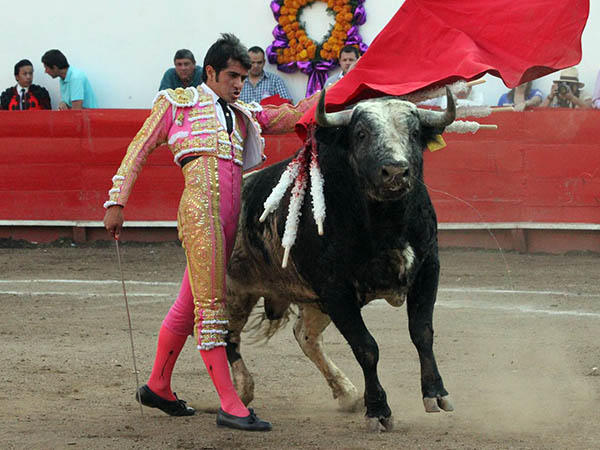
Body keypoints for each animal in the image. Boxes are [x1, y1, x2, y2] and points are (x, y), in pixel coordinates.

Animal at [225, 87, 456, 431]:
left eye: (414, 133)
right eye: (361, 134)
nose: (395, 171)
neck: (387, 221)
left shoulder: (428, 268)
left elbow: (422, 333)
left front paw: (436, 394)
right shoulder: (335, 288)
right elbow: (366, 347)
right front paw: (378, 410)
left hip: (312, 299)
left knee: (305, 336)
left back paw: (347, 393)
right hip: (234, 289)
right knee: (226, 337)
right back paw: (242, 391)